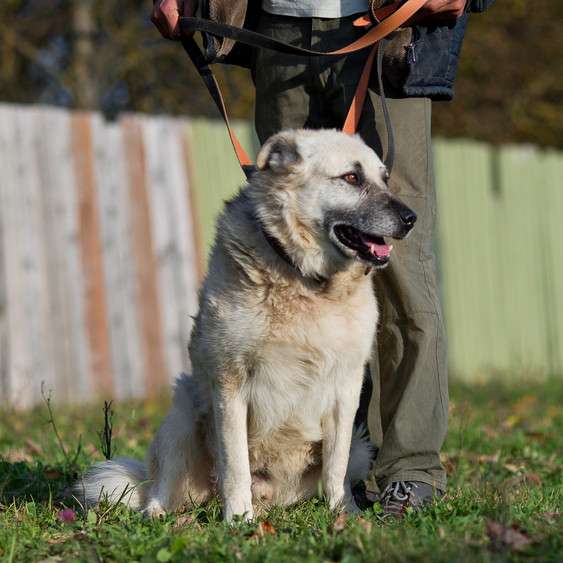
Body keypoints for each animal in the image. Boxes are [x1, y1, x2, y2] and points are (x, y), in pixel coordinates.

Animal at [77, 130, 416, 524]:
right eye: (351, 177)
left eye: (384, 178)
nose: (411, 218)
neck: (303, 279)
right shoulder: (229, 384)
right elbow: (235, 464)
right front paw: (239, 520)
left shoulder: (345, 391)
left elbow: (336, 468)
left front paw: (344, 516)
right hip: (182, 415)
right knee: (161, 490)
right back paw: (163, 515)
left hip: (360, 447)